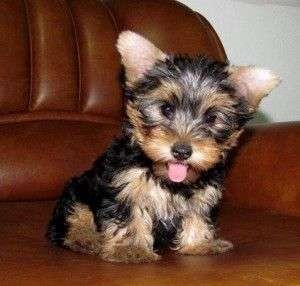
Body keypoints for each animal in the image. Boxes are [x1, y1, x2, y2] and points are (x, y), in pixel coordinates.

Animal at [46, 30, 278, 262]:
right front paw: (130, 250)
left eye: (211, 118)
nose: (182, 151)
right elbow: (129, 214)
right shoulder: (125, 185)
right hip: (77, 191)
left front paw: (198, 244)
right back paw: (87, 238)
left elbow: (197, 214)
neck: (168, 180)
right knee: (74, 217)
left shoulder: (204, 193)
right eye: (166, 108)